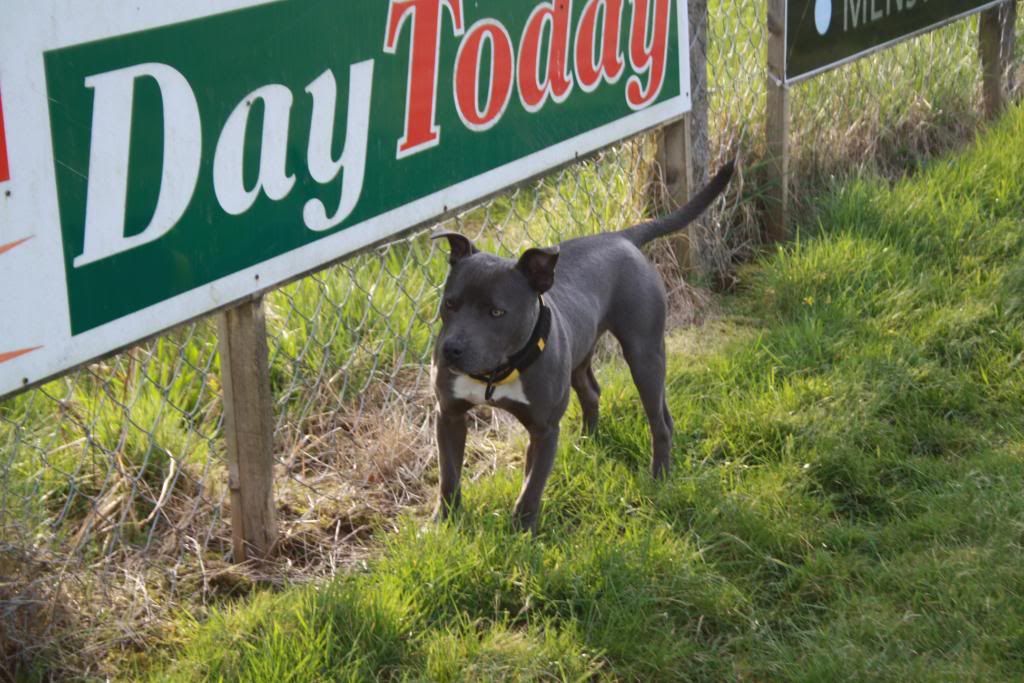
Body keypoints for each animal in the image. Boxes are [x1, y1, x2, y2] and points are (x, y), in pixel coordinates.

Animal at [432, 158, 737, 528]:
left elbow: (531, 486)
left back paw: (660, 476)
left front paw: (522, 529)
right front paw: (444, 522)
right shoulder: (449, 415)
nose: (451, 349)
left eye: (496, 312)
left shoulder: (544, 429)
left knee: (658, 420)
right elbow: (449, 476)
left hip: (644, 354)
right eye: (450, 304)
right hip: (583, 356)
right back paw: (587, 442)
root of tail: (620, 236)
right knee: (593, 393)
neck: (497, 374)